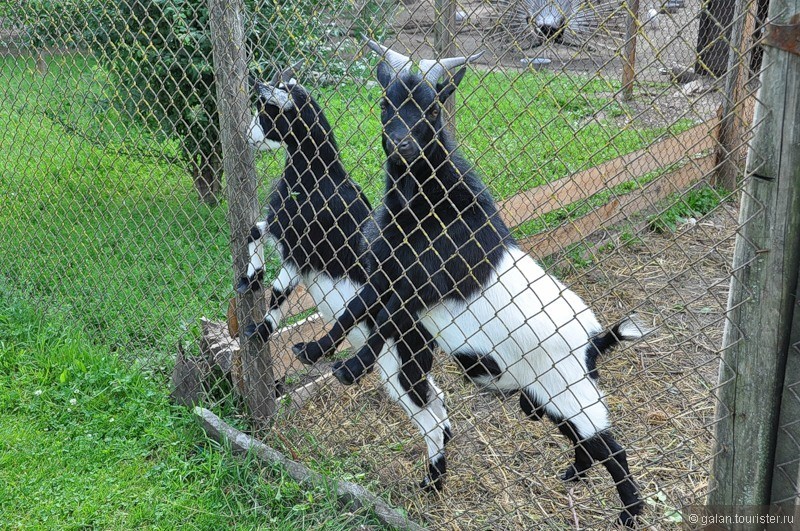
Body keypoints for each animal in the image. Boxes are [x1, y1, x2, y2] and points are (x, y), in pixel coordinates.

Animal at [241, 66, 454, 490]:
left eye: (267, 110)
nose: (246, 132)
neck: (316, 179)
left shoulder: (301, 248)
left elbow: (277, 283)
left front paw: (258, 321)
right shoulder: (285, 234)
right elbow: (258, 240)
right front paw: (251, 285)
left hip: (395, 364)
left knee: (427, 419)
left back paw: (433, 480)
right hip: (411, 365)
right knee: (436, 401)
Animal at [294, 43, 648, 524]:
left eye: (432, 107)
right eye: (386, 103)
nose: (402, 144)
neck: (431, 209)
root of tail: (595, 340)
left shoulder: (424, 283)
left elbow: (382, 318)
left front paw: (350, 368)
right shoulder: (388, 271)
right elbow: (359, 310)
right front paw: (314, 351)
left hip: (570, 390)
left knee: (611, 446)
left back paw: (631, 511)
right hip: (549, 394)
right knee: (585, 441)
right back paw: (574, 475)